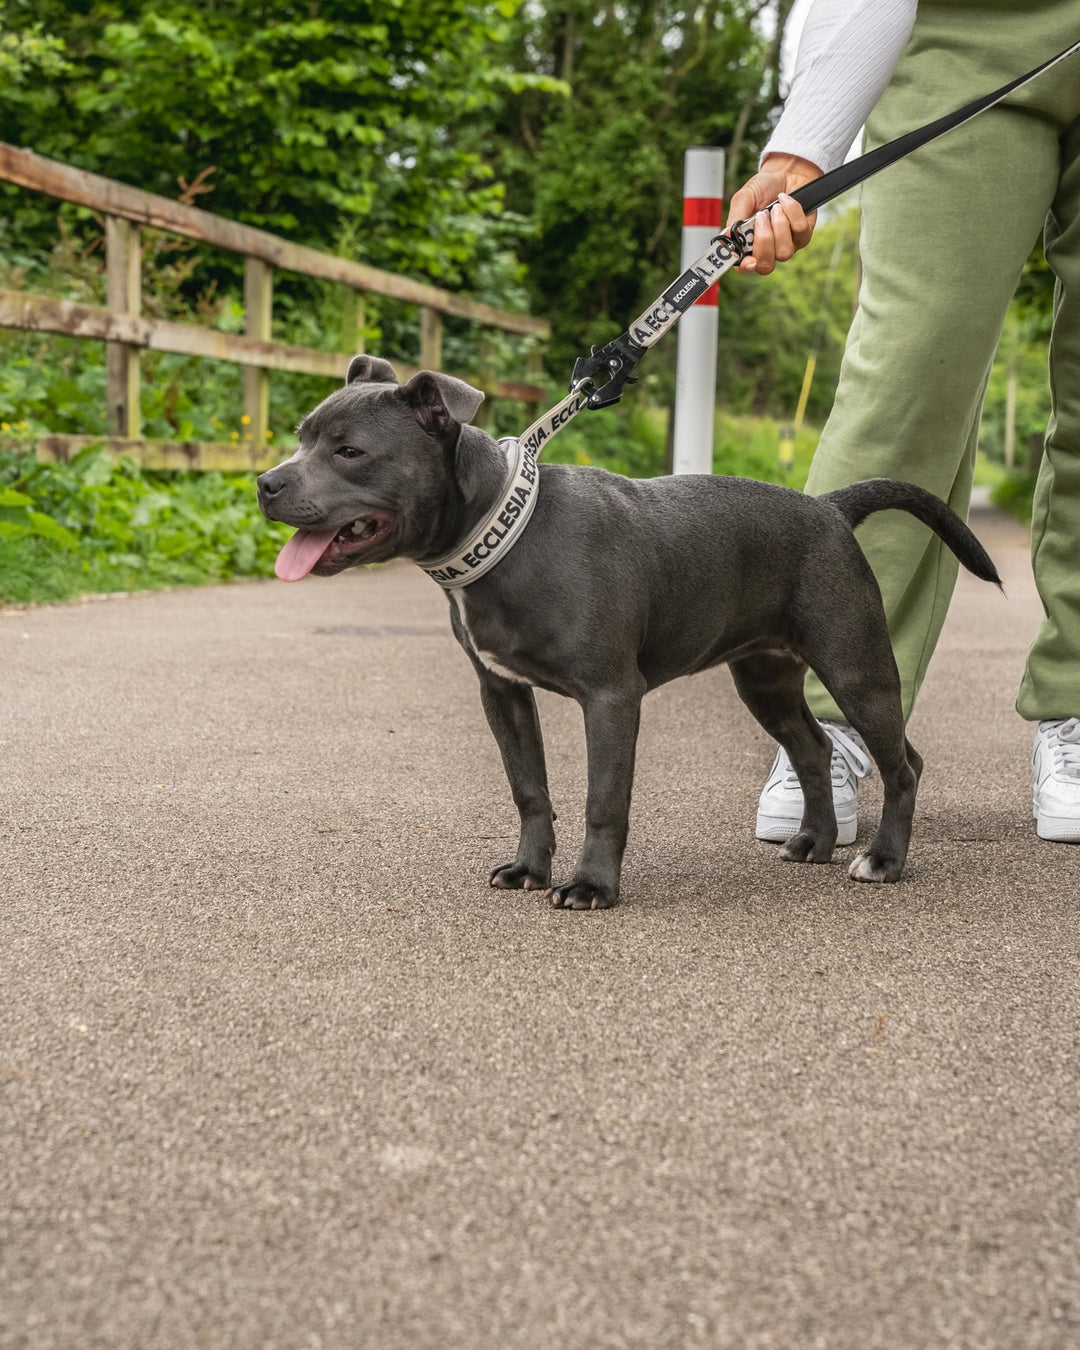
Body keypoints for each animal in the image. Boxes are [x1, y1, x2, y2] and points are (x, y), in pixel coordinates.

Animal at [257, 356, 999, 907]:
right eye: (300, 436)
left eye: (350, 451)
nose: (264, 481)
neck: (505, 531)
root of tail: (831, 509)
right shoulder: (503, 694)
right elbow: (530, 790)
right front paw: (528, 869)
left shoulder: (611, 698)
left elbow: (603, 798)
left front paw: (591, 886)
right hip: (766, 680)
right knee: (813, 748)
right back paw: (814, 842)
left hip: (855, 669)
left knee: (904, 764)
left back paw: (884, 859)